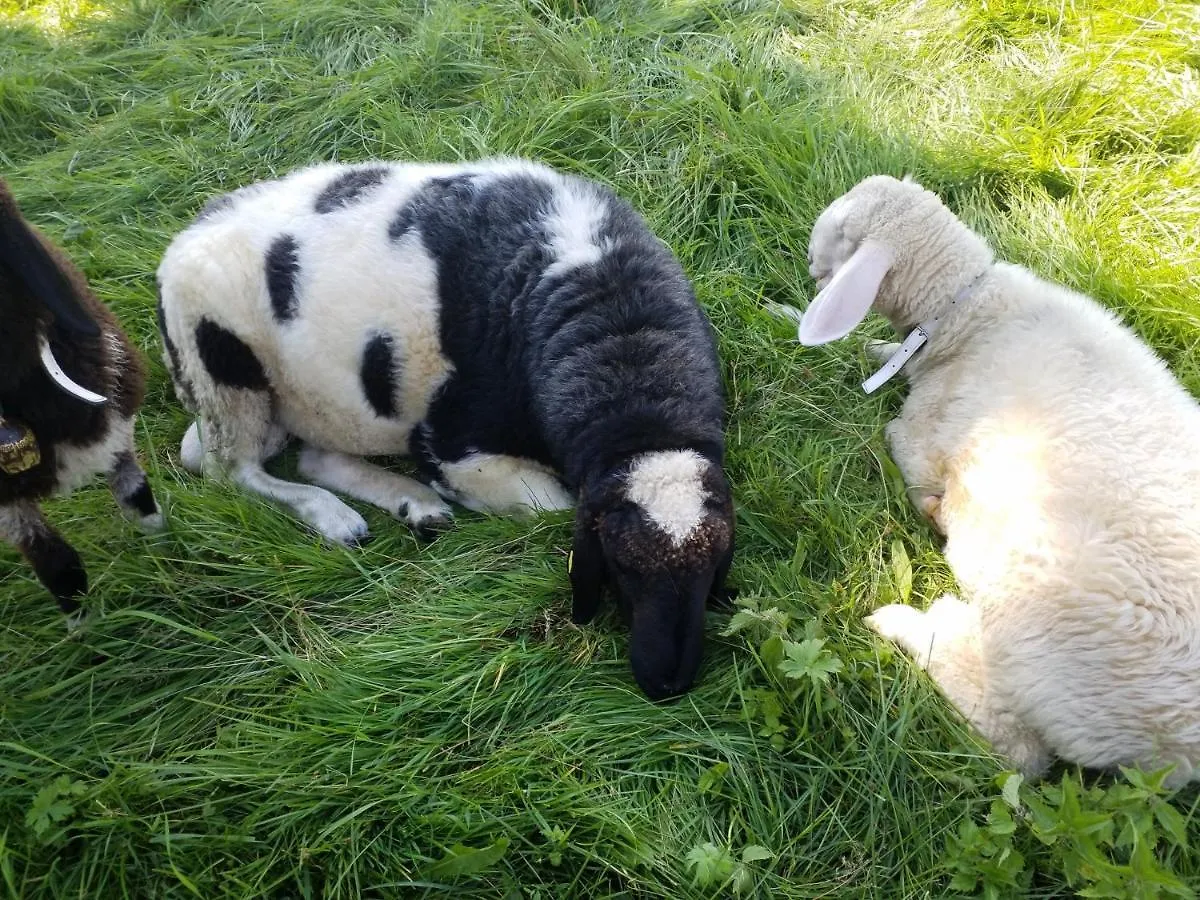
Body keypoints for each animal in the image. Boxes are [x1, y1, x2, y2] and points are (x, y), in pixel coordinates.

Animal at [154, 158, 734, 700]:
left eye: (715, 565)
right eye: (620, 564)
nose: (668, 682)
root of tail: (189, 231)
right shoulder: (457, 444)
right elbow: (550, 504)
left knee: (311, 457)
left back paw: (413, 506)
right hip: (222, 369)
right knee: (230, 472)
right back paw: (340, 516)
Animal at [792, 174, 1195, 782]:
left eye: (840, 231)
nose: (811, 263)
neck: (969, 312)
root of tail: (1177, 752)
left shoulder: (919, 437)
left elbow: (901, 445)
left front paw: (936, 510)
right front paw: (873, 348)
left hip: (1036, 642)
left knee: (1017, 749)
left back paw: (908, 622)